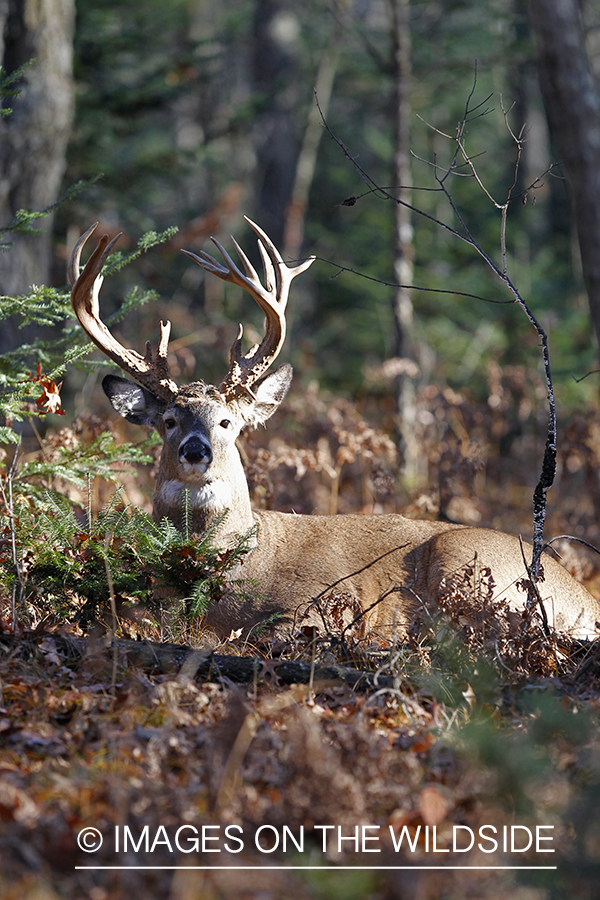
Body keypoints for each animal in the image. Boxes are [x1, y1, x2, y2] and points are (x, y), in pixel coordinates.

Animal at [68, 217, 596, 640]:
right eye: (170, 421)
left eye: (227, 422)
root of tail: (586, 599)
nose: (197, 452)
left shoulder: (323, 600)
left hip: (467, 561)